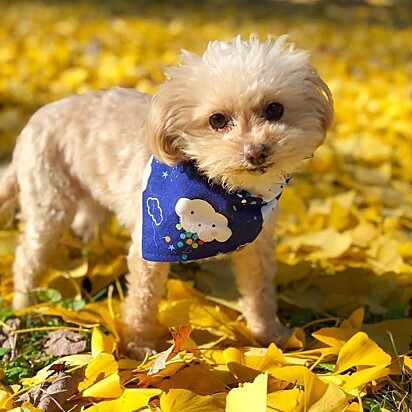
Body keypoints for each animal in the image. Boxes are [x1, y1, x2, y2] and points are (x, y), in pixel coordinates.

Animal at [0, 36, 334, 358]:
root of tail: (34, 121)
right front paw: (137, 346)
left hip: (90, 202)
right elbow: (142, 301)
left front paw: (269, 335)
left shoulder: (257, 246)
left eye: (274, 109)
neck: (224, 192)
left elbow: (260, 294)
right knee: (26, 259)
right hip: (48, 204)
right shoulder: (150, 247)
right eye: (217, 120)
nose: (256, 152)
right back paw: (23, 305)